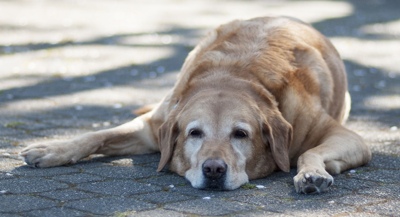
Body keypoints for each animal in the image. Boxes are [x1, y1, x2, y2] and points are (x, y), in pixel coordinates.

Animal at [20, 16, 370, 193]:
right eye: (194, 133)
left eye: (240, 134)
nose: (213, 169)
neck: (233, 76)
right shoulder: (153, 126)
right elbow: (98, 135)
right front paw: (53, 149)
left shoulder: (348, 137)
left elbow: (310, 152)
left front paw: (311, 173)